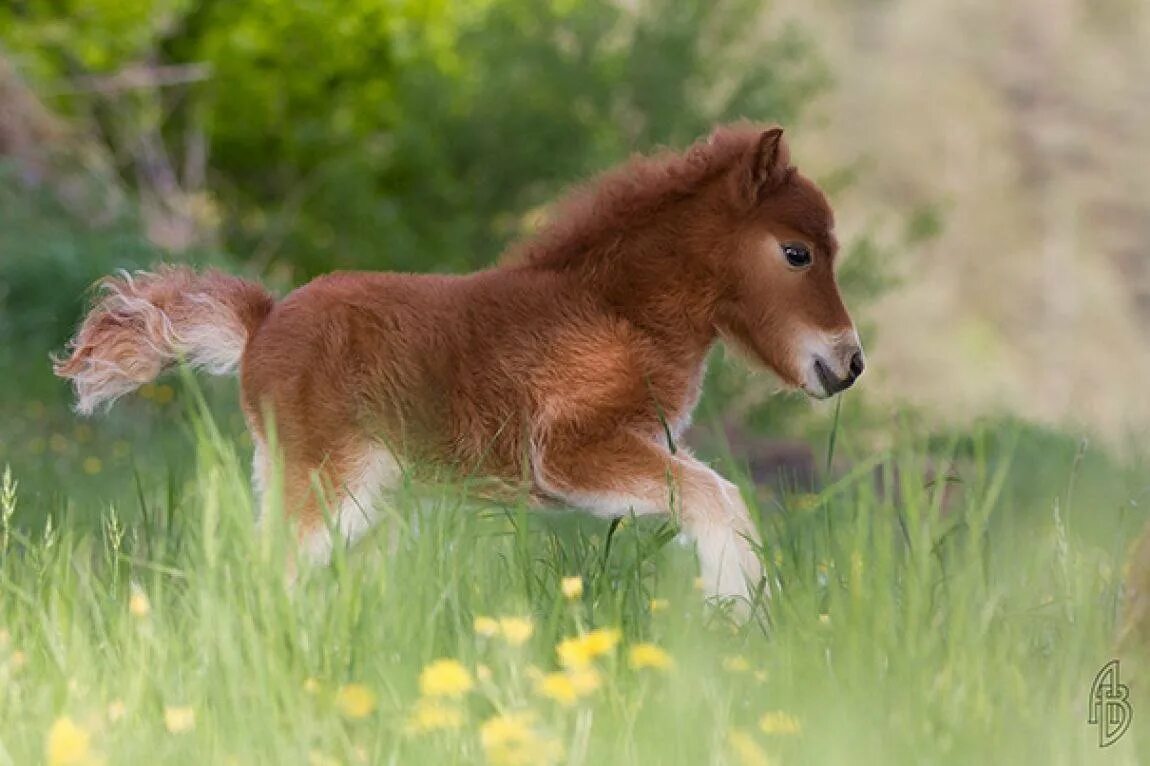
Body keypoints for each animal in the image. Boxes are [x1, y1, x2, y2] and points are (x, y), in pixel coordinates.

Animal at [54, 123, 864, 602]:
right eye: (797, 253)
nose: (849, 362)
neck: (615, 309)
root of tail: (262, 322)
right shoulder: (568, 454)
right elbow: (716, 496)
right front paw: (737, 613)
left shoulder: (640, 442)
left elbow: (716, 493)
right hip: (329, 481)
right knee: (270, 569)